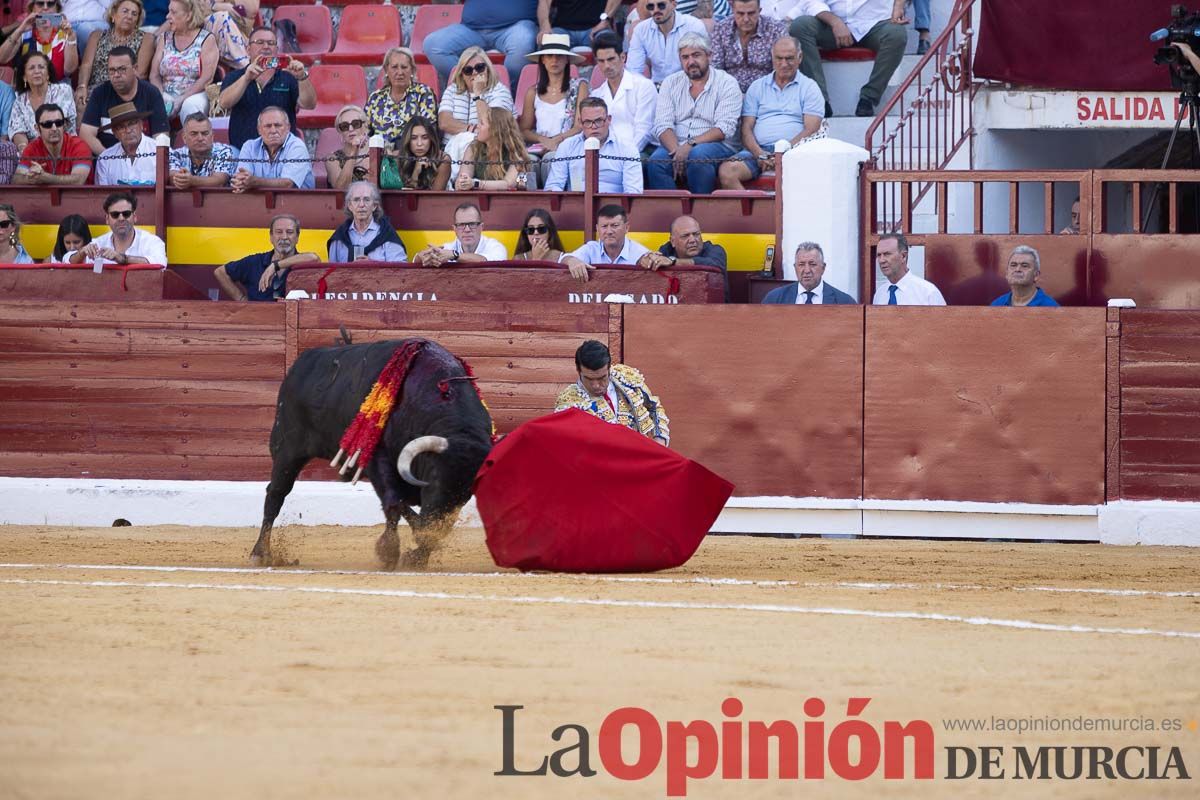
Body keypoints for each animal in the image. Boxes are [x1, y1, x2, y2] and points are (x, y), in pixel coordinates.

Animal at [250, 338, 494, 568]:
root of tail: (299, 364)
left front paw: (416, 557)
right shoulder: (378, 459)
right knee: (275, 495)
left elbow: (415, 515)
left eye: (467, 493)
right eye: (433, 479)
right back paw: (260, 553)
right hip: (287, 450)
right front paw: (390, 552)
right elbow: (394, 502)